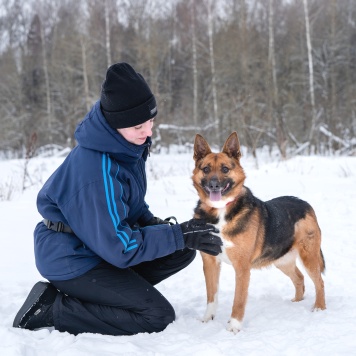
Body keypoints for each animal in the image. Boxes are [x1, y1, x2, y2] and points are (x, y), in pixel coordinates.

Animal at [192, 131, 326, 334]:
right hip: (282, 260)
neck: (221, 212)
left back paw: (319, 308)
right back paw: (296, 302)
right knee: (299, 278)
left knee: (319, 282)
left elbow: (238, 300)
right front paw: (208, 320)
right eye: (206, 169)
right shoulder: (210, 262)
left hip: (308, 256)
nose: (214, 185)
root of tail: (305, 204)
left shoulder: (242, 267)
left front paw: (234, 327)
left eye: (225, 169)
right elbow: (211, 296)